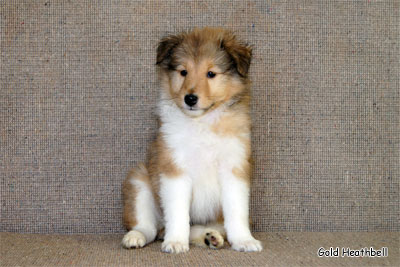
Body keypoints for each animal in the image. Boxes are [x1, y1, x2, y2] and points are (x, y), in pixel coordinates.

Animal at [122, 27, 262, 255]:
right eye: (183, 72)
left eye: (211, 73)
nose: (190, 98)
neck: (202, 123)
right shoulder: (174, 168)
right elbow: (178, 212)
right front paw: (175, 242)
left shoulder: (234, 168)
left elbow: (237, 211)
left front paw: (244, 240)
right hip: (139, 180)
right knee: (148, 226)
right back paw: (135, 237)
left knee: (204, 226)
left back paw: (211, 237)